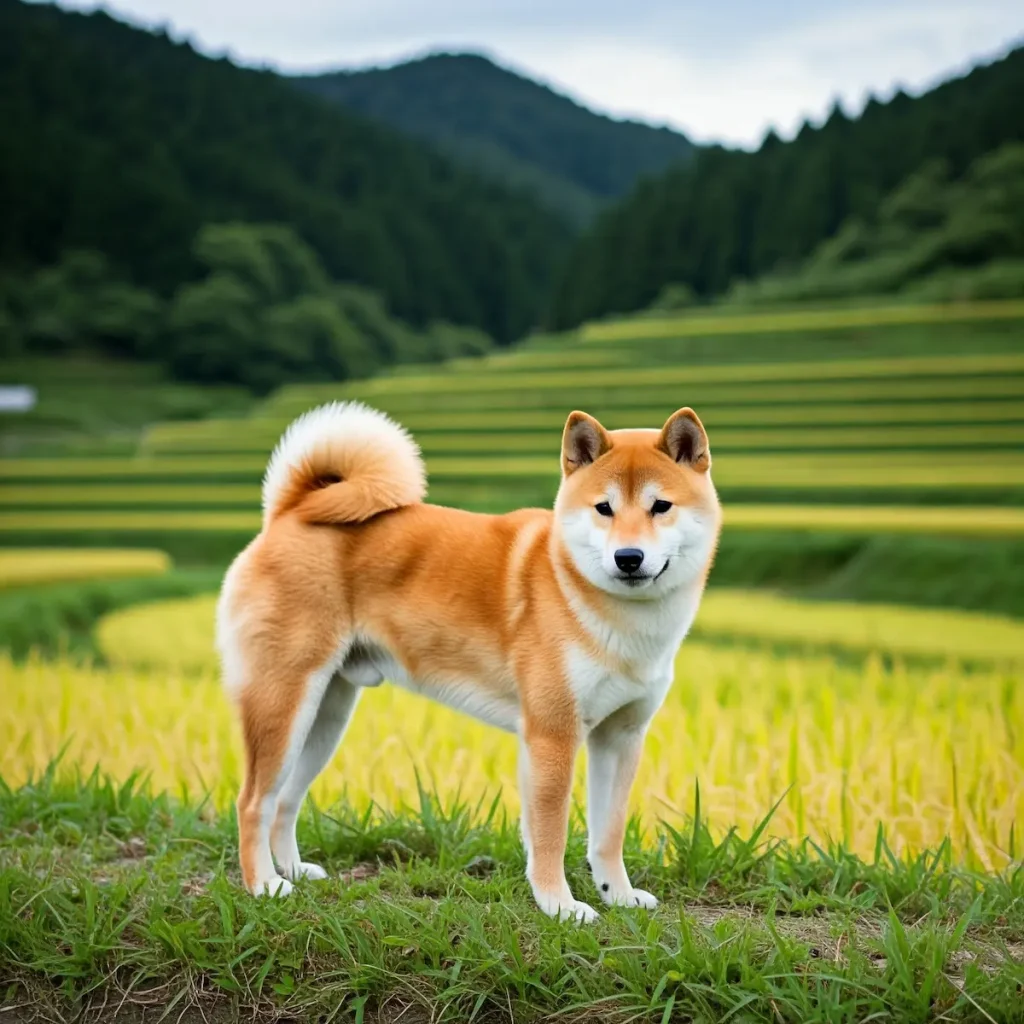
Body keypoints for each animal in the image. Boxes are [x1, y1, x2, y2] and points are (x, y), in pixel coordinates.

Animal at [218, 399, 720, 921]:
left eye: (660, 506)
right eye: (604, 508)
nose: (628, 556)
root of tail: (289, 512)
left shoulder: (621, 736)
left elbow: (608, 833)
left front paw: (617, 895)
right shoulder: (552, 735)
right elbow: (551, 835)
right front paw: (560, 906)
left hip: (326, 716)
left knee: (285, 800)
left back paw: (293, 871)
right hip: (286, 703)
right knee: (252, 801)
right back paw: (264, 886)